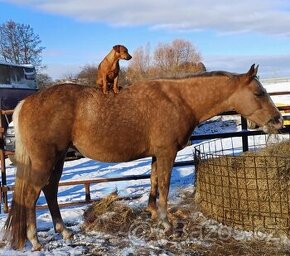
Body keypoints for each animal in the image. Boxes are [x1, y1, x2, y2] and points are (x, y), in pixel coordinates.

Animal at [3, 64, 282, 250]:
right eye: (258, 93)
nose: (278, 121)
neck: (180, 100)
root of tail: (26, 103)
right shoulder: (167, 152)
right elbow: (164, 186)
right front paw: (168, 224)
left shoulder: (157, 154)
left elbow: (154, 181)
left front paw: (154, 214)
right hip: (45, 161)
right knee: (31, 195)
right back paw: (35, 240)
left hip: (58, 158)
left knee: (49, 191)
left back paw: (64, 232)